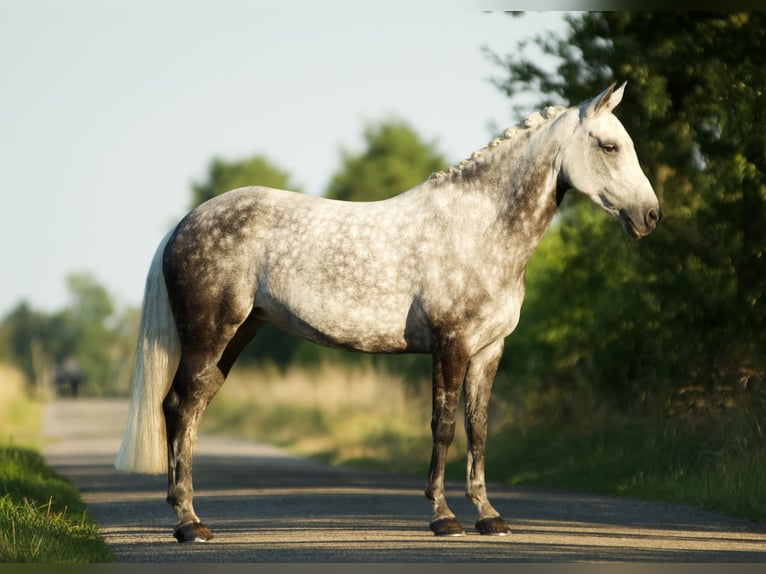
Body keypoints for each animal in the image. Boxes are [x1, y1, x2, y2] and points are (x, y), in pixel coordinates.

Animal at [112, 82, 660, 544]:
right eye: (609, 146)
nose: (651, 216)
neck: (480, 227)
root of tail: (185, 222)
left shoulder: (489, 349)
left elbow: (479, 428)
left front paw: (489, 517)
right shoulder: (450, 344)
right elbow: (444, 425)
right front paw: (443, 518)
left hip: (235, 337)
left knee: (192, 411)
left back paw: (192, 518)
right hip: (210, 336)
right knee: (178, 407)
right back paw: (188, 524)